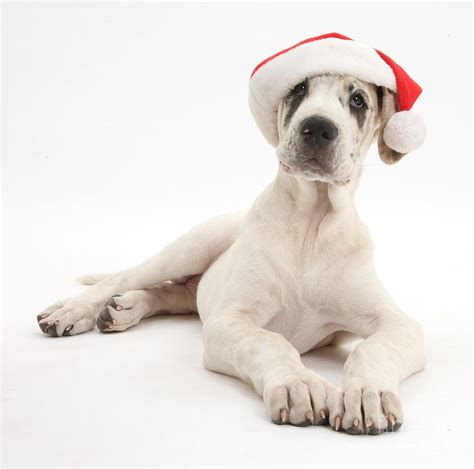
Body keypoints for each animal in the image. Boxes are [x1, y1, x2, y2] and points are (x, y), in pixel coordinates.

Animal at [37, 34, 426, 434]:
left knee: (175, 293)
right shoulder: (230, 320)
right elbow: (270, 341)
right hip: (193, 245)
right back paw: (73, 311)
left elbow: (371, 348)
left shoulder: (398, 324)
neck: (312, 222)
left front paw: (365, 393)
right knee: (125, 277)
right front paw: (298, 383)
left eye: (358, 100)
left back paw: (126, 308)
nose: (318, 127)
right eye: (299, 89)